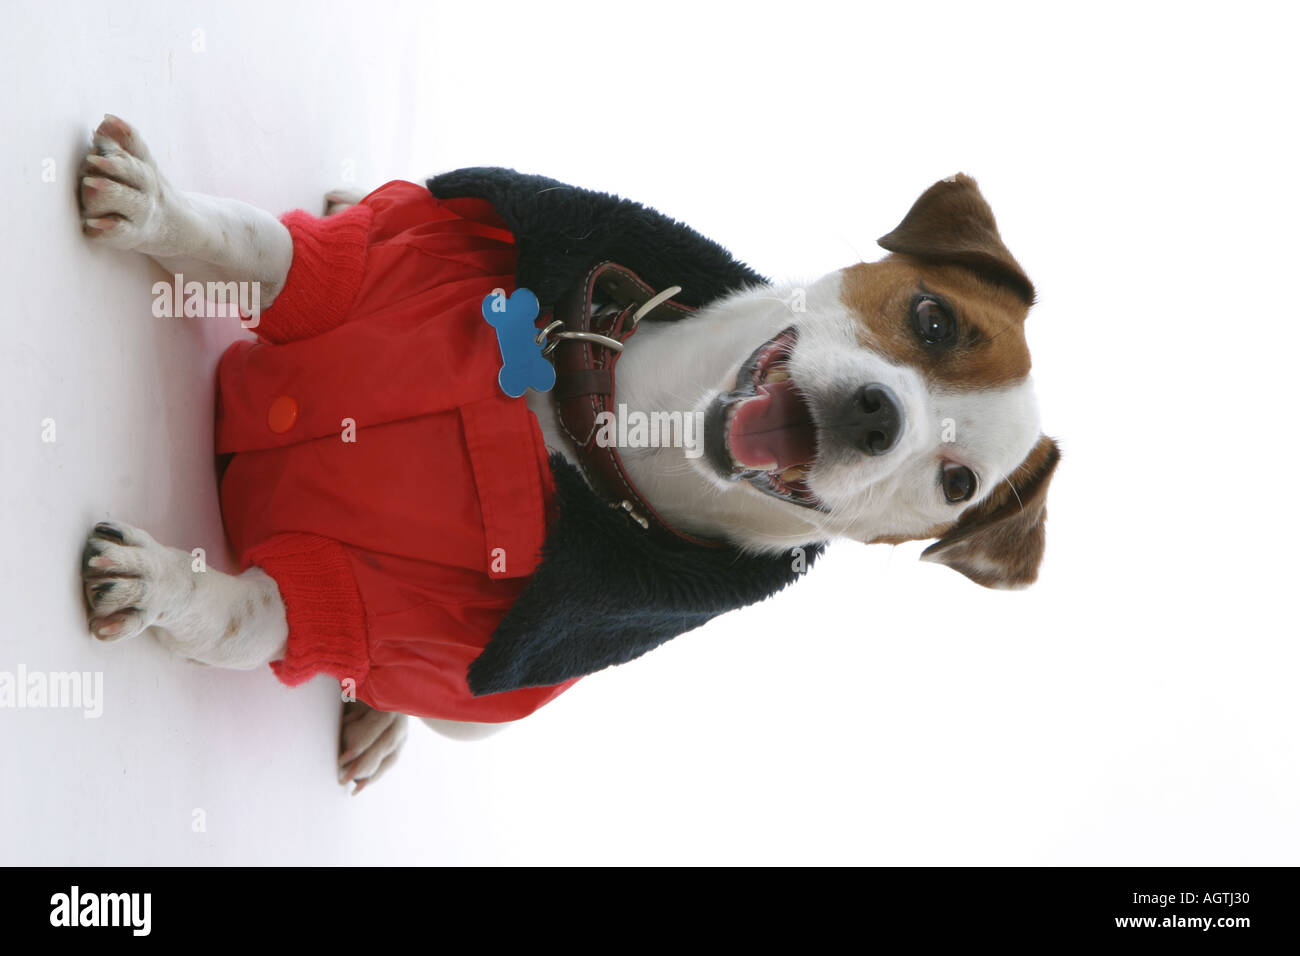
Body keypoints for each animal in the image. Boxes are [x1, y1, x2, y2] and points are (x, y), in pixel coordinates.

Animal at [78, 113, 1055, 790]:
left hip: (470, 717)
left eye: (958, 482)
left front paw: (160, 584)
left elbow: (247, 614)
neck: (611, 428)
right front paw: (153, 209)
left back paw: (379, 718)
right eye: (935, 319)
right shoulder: (375, 259)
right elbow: (253, 244)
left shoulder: (396, 616)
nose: (877, 418)